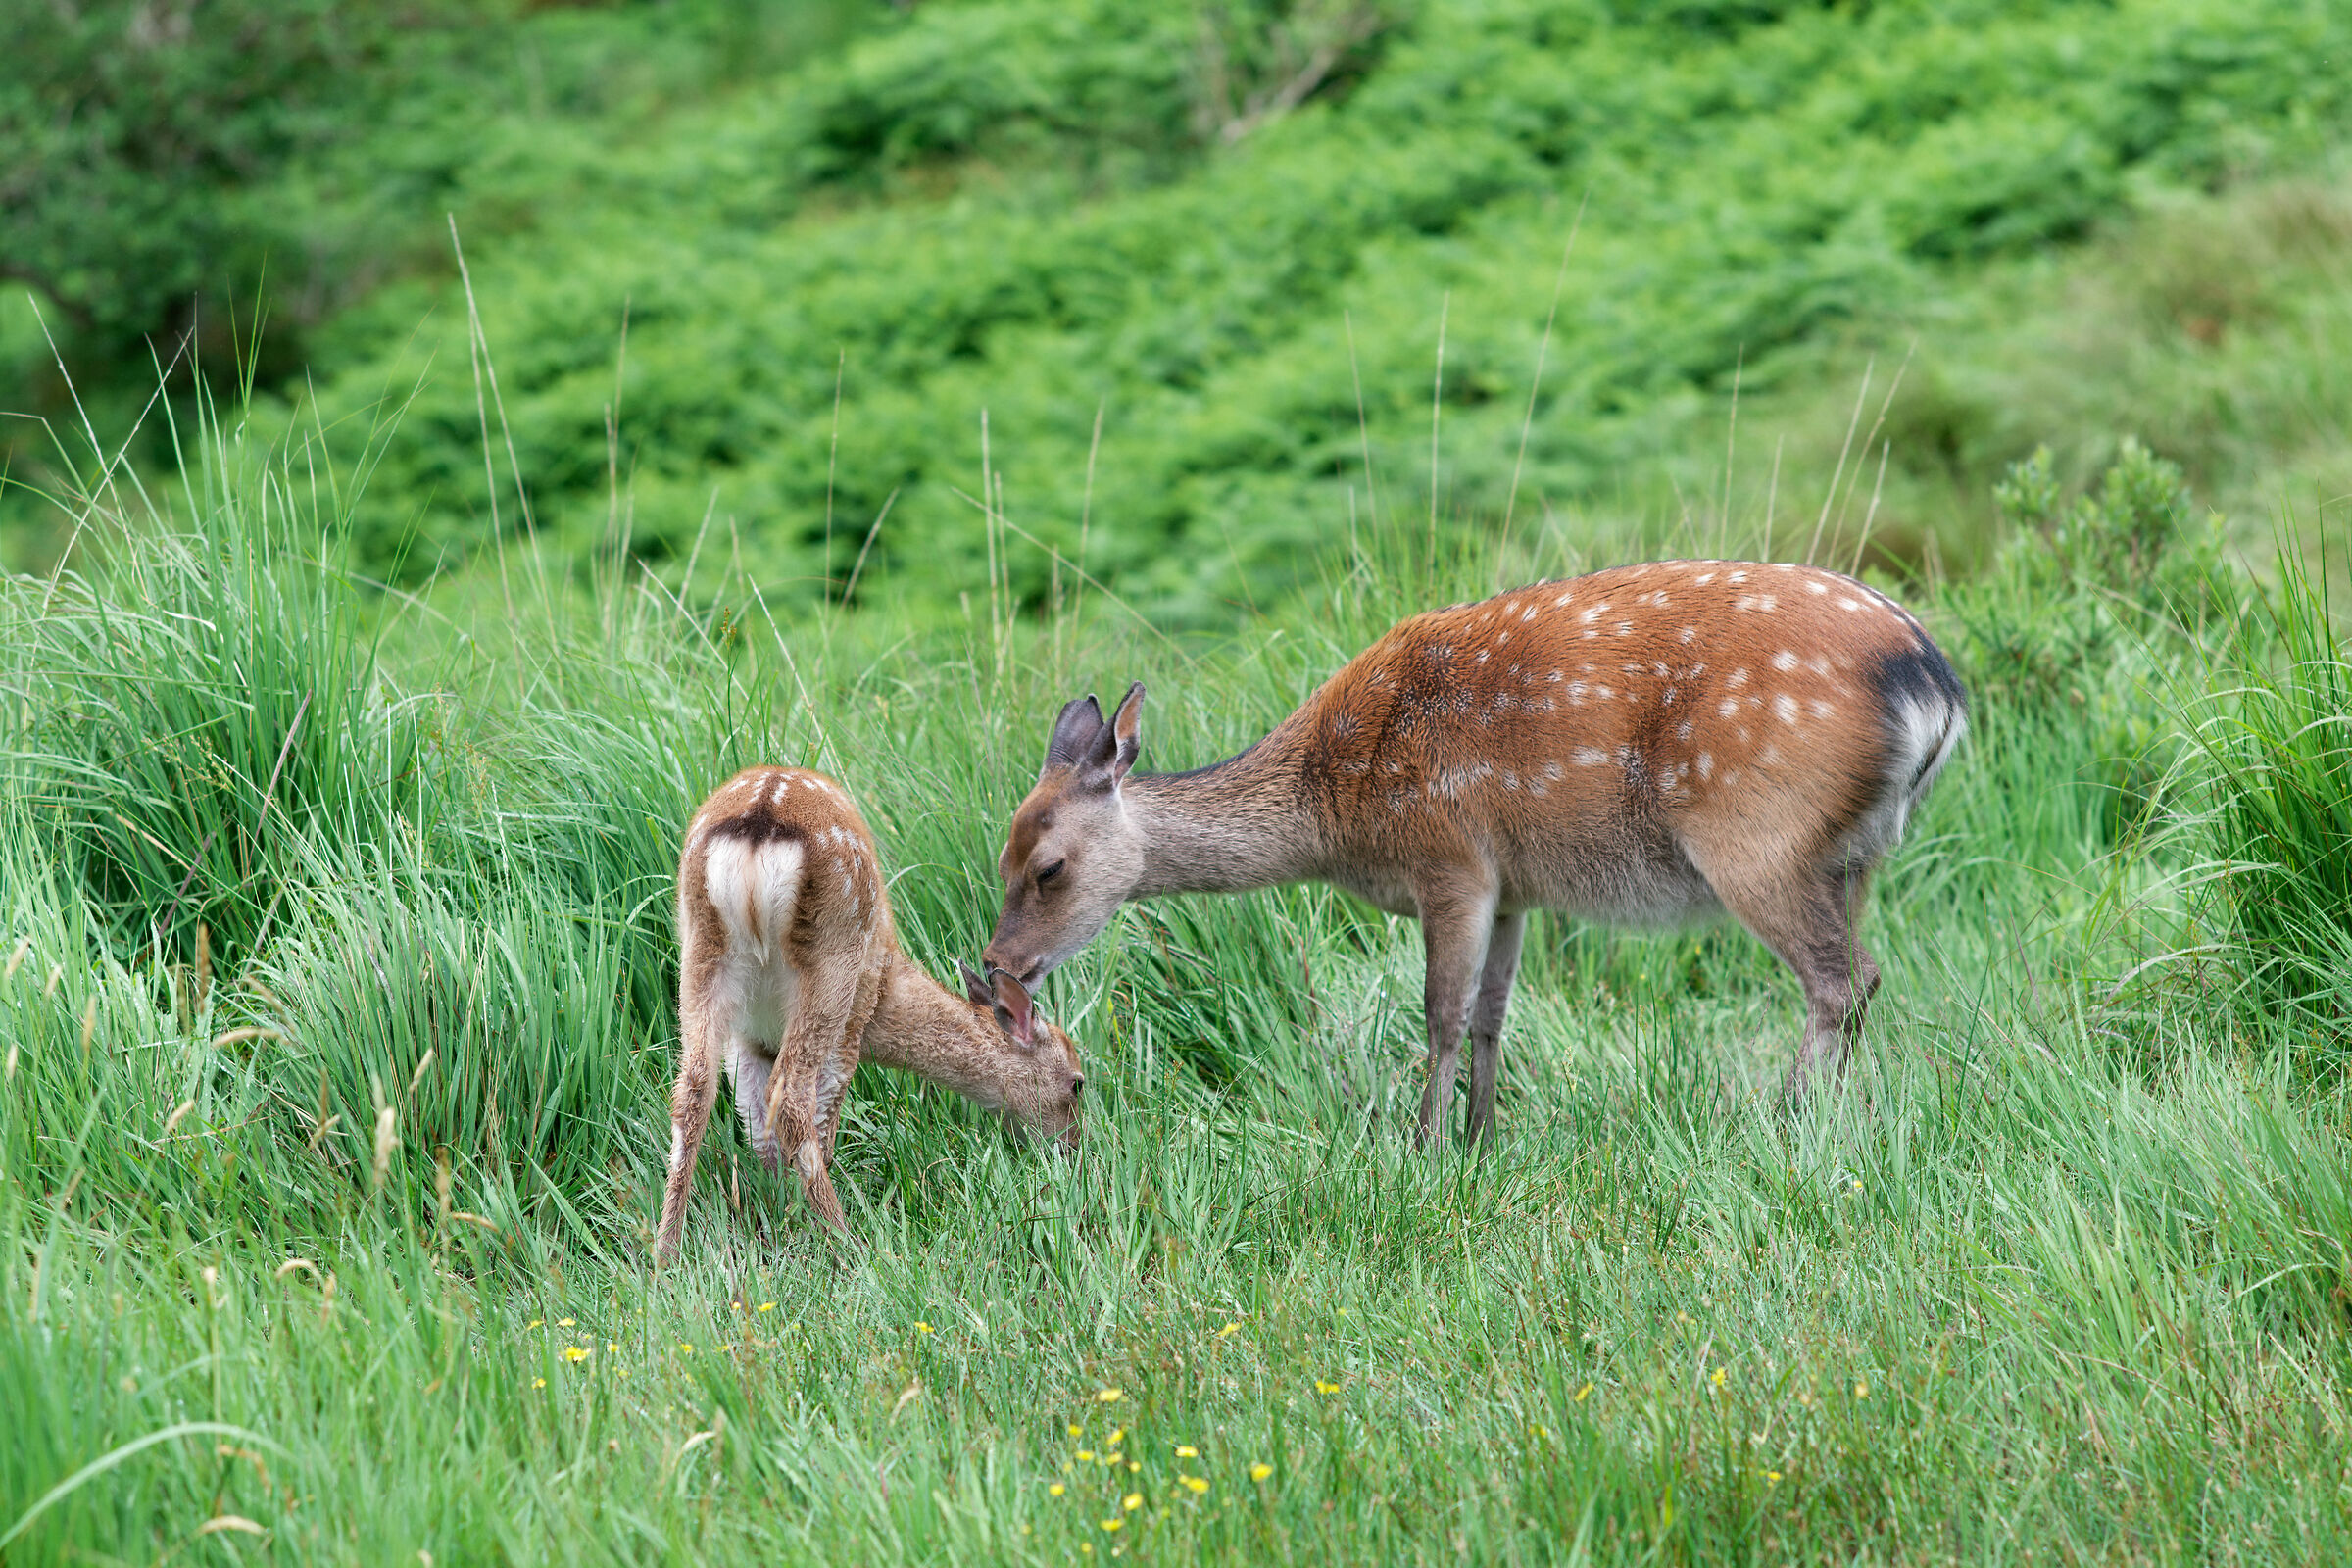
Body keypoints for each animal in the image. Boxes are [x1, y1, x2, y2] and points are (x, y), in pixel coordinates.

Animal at [655, 766, 1084, 1264]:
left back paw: (665, 1252)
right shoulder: (855, 1022)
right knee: (794, 1095)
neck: (890, 990)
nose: (1075, 1148)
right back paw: (846, 1240)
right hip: (833, 958)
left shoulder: (750, 1040)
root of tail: (761, 817)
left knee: (693, 1089)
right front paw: (800, 1223)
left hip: (700, 950)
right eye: (1077, 1082)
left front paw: (777, 1216)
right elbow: (819, 1119)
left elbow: (758, 1131)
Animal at [982, 560, 1965, 1147]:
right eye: (1001, 855)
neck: (1337, 817)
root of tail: (1936, 686)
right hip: (1853, 854)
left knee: (1841, 978)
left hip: (1755, 833)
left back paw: (1777, 1121)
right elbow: (1494, 1014)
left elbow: (1441, 1014)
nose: (997, 968)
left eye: (1048, 867)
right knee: (1856, 977)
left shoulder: (1449, 857)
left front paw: (1421, 1145)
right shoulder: (1518, 885)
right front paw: (1482, 1138)